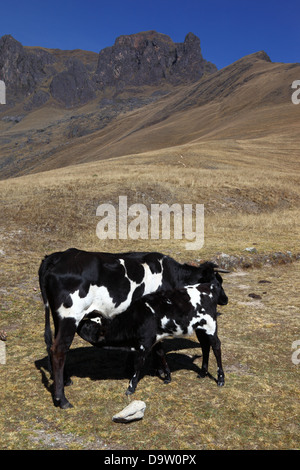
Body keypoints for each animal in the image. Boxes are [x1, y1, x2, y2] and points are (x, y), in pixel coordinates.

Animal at [77, 266, 227, 394]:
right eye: (89, 320)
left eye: (88, 326)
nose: (78, 323)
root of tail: (209, 286)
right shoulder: (156, 339)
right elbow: (161, 354)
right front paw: (167, 376)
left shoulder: (144, 343)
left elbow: (138, 364)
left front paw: (131, 387)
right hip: (200, 328)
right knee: (205, 346)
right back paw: (202, 372)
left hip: (210, 326)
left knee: (216, 346)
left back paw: (220, 378)